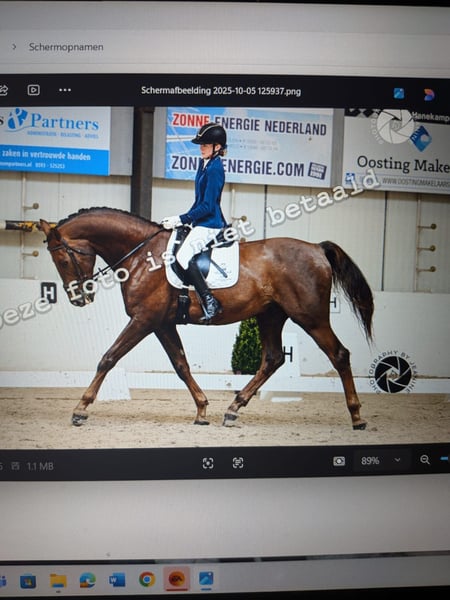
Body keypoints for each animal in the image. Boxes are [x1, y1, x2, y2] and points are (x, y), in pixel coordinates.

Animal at [39, 207, 374, 430]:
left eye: (62, 258)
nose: (79, 298)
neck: (141, 255)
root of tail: (316, 249)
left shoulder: (144, 320)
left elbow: (108, 358)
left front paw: (80, 409)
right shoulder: (162, 323)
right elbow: (181, 364)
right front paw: (201, 410)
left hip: (310, 317)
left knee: (339, 355)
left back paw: (357, 416)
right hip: (270, 316)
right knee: (273, 358)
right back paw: (233, 409)